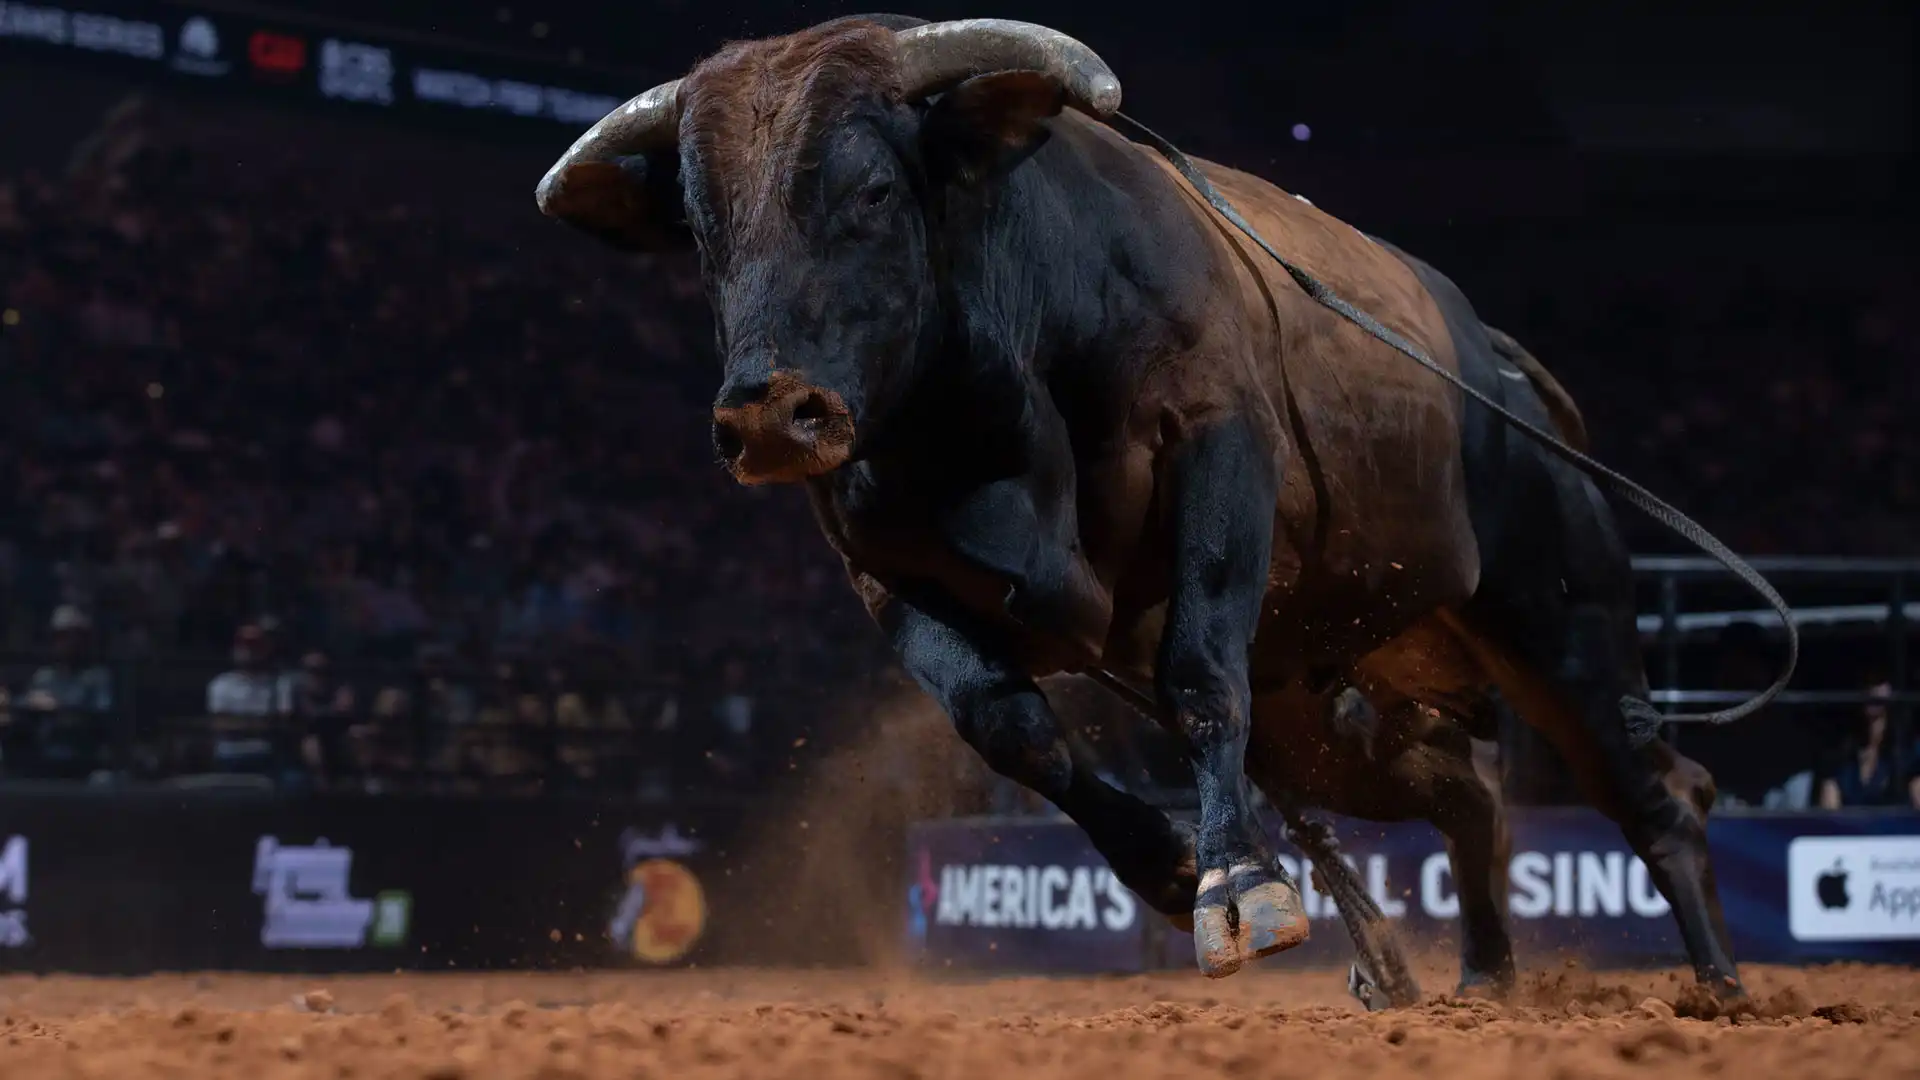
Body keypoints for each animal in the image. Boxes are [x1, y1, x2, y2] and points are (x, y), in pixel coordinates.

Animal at [535, 15, 1787, 1004]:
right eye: (707, 234)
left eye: (874, 192)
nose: (768, 415)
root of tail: (1507, 377)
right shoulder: (885, 570)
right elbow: (1007, 725)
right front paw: (1173, 864)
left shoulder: (1216, 452)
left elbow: (1197, 672)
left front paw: (1239, 882)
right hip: (1332, 719)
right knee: (1471, 800)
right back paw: (1483, 978)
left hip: (1562, 624)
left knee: (1658, 793)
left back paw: (1719, 986)